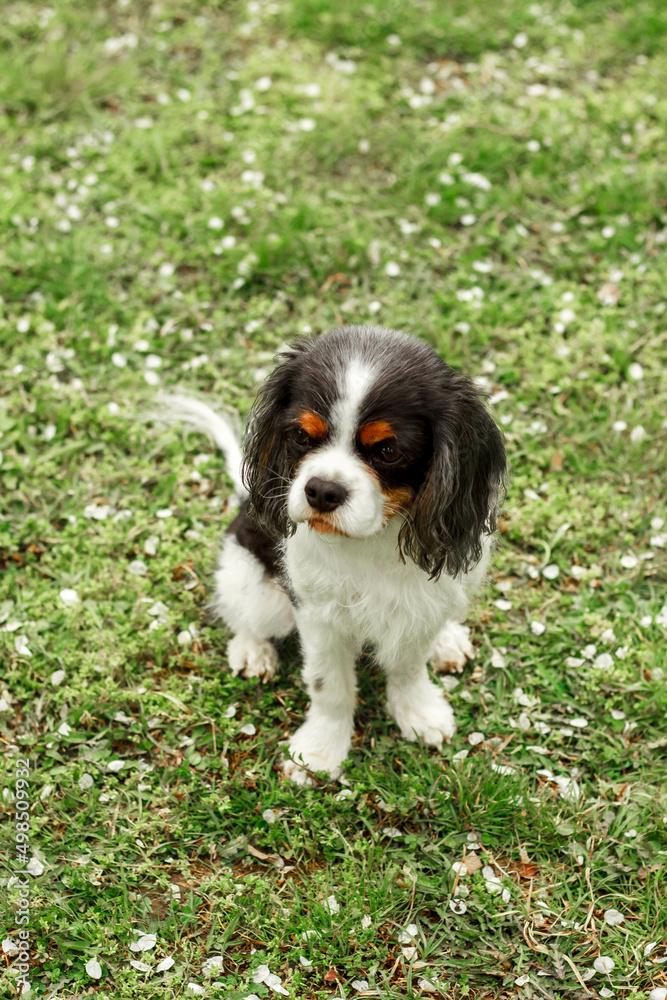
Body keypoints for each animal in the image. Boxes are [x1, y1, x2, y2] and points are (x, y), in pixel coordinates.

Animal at [162, 324, 506, 784]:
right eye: (301, 436)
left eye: (388, 451)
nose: (322, 490)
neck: (372, 539)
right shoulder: (318, 615)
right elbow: (330, 686)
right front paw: (320, 750)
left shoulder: (420, 604)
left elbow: (408, 665)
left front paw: (418, 712)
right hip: (261, 589)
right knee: (244, 614)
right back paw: (252, 650)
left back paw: (447, 640)